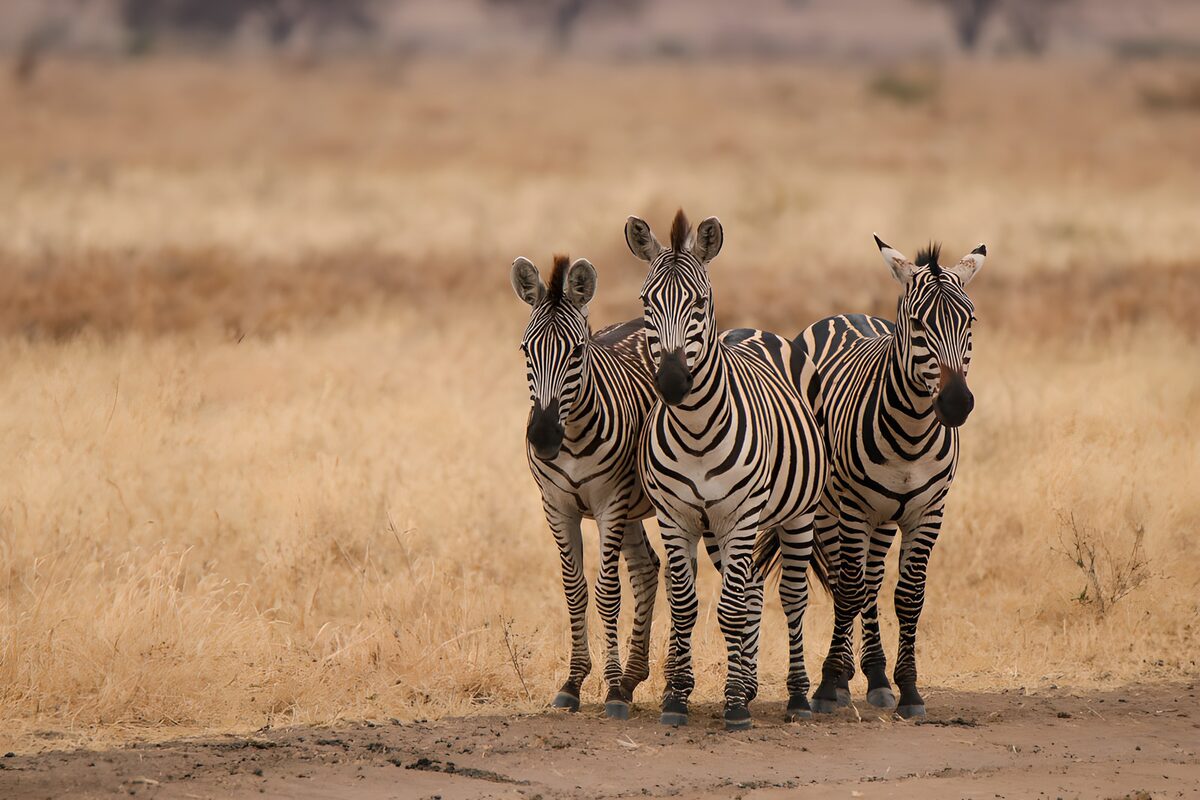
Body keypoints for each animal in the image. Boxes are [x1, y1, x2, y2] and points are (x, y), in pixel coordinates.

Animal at [510, 253, 662, 720]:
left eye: (577, 351)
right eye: (526, 349)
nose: (543, 438)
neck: (573, 435)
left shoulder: (610, 502)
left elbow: (607, 591)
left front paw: (610, 689)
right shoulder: (557, 506)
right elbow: (574, 590)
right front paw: (573, 683)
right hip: (630, 509)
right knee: (647, 568)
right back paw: (633, 677)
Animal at [627, 210, 828, 731]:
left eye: (699, 301)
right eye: (646, 301)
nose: (672, 382)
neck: (696, 429)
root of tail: (756, 330)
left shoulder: (740, 516)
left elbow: (731, 611)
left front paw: (734, 705)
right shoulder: (675, 517)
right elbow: (685, 606)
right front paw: (677, 697)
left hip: (795, 515)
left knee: (790, 596)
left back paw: (797, 696)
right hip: (718, 529)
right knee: (753, 586)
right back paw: (751, 683)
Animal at [757, 235, 986, 720]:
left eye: (970, 320)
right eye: (916, 323)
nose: (956, 404)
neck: (913, 433)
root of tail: (845, 314)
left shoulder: (929, 511)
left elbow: (908, 596)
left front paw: (908, 688)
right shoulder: (853, 509)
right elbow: (847, 589)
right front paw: (828, 685)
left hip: (883, 518)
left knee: (873, 580)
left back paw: (876, 677)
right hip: (830, 508)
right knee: (849, 579)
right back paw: (844, 676)